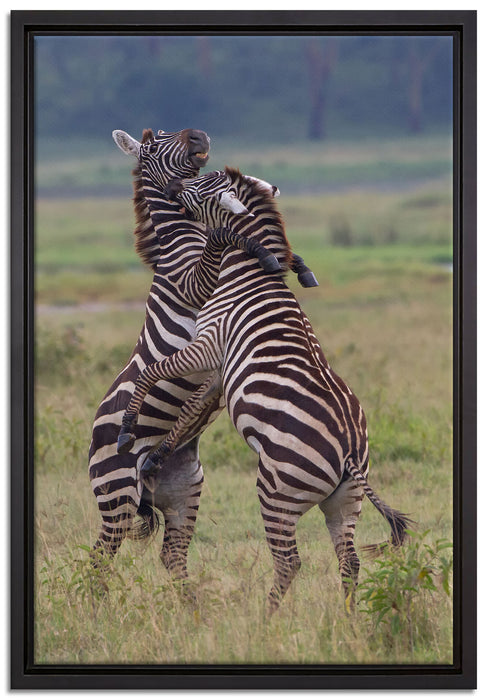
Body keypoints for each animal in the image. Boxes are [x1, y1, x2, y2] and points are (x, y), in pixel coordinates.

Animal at [117, 167, 412, 614]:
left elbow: (153, 372)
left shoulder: (208, 344)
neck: (249, 272)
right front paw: (155, 457)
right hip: (345, 503)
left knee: (290, 562)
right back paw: (348, 622)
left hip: (276, 492)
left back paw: (265, 618)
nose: (170, 187)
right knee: (350, 562)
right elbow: (190, 410)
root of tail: (348, 451)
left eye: (201, 184)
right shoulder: (219, 367)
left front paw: (128, 428)